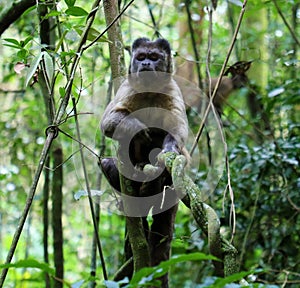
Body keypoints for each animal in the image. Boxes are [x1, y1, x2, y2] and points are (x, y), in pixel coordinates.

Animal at [101, 37, 190, 286]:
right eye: (141, 57)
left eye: (154, 57)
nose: (147, 64)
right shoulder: (126, 87)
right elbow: (108, 122)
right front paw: (140, 129)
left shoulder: (173, 89)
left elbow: (178, 133)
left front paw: (167, 151)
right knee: (108, 161)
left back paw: (154, 181)